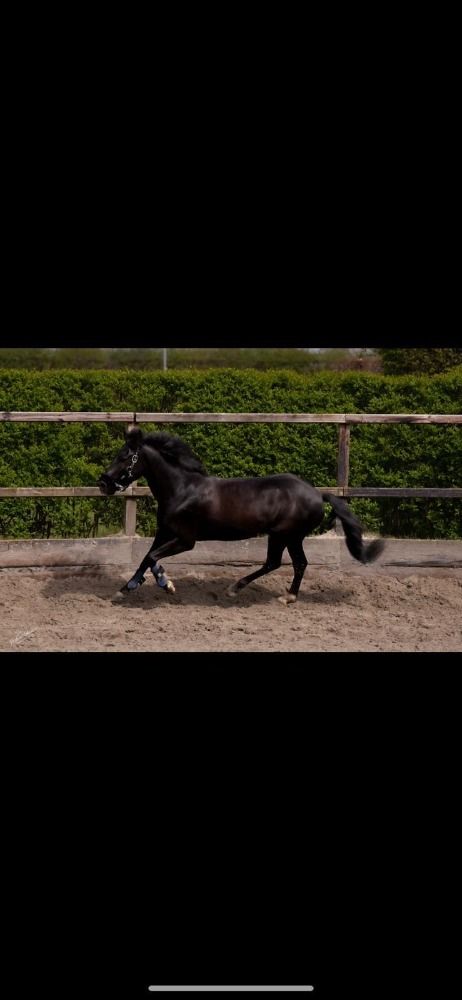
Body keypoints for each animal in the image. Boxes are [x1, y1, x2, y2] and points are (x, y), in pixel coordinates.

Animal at [97, 426, 385, 602]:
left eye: (125, 457)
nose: (103, 483)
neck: (182, 490)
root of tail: (317, 494)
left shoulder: (186, 540)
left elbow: (153, 557)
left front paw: (163, 584)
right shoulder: (165, 532)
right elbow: (146, 557)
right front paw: (127, 589)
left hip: (285, 535)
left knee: (282, 563)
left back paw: (248, 590)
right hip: (288, 537)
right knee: (290, 563)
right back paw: (279, 594)